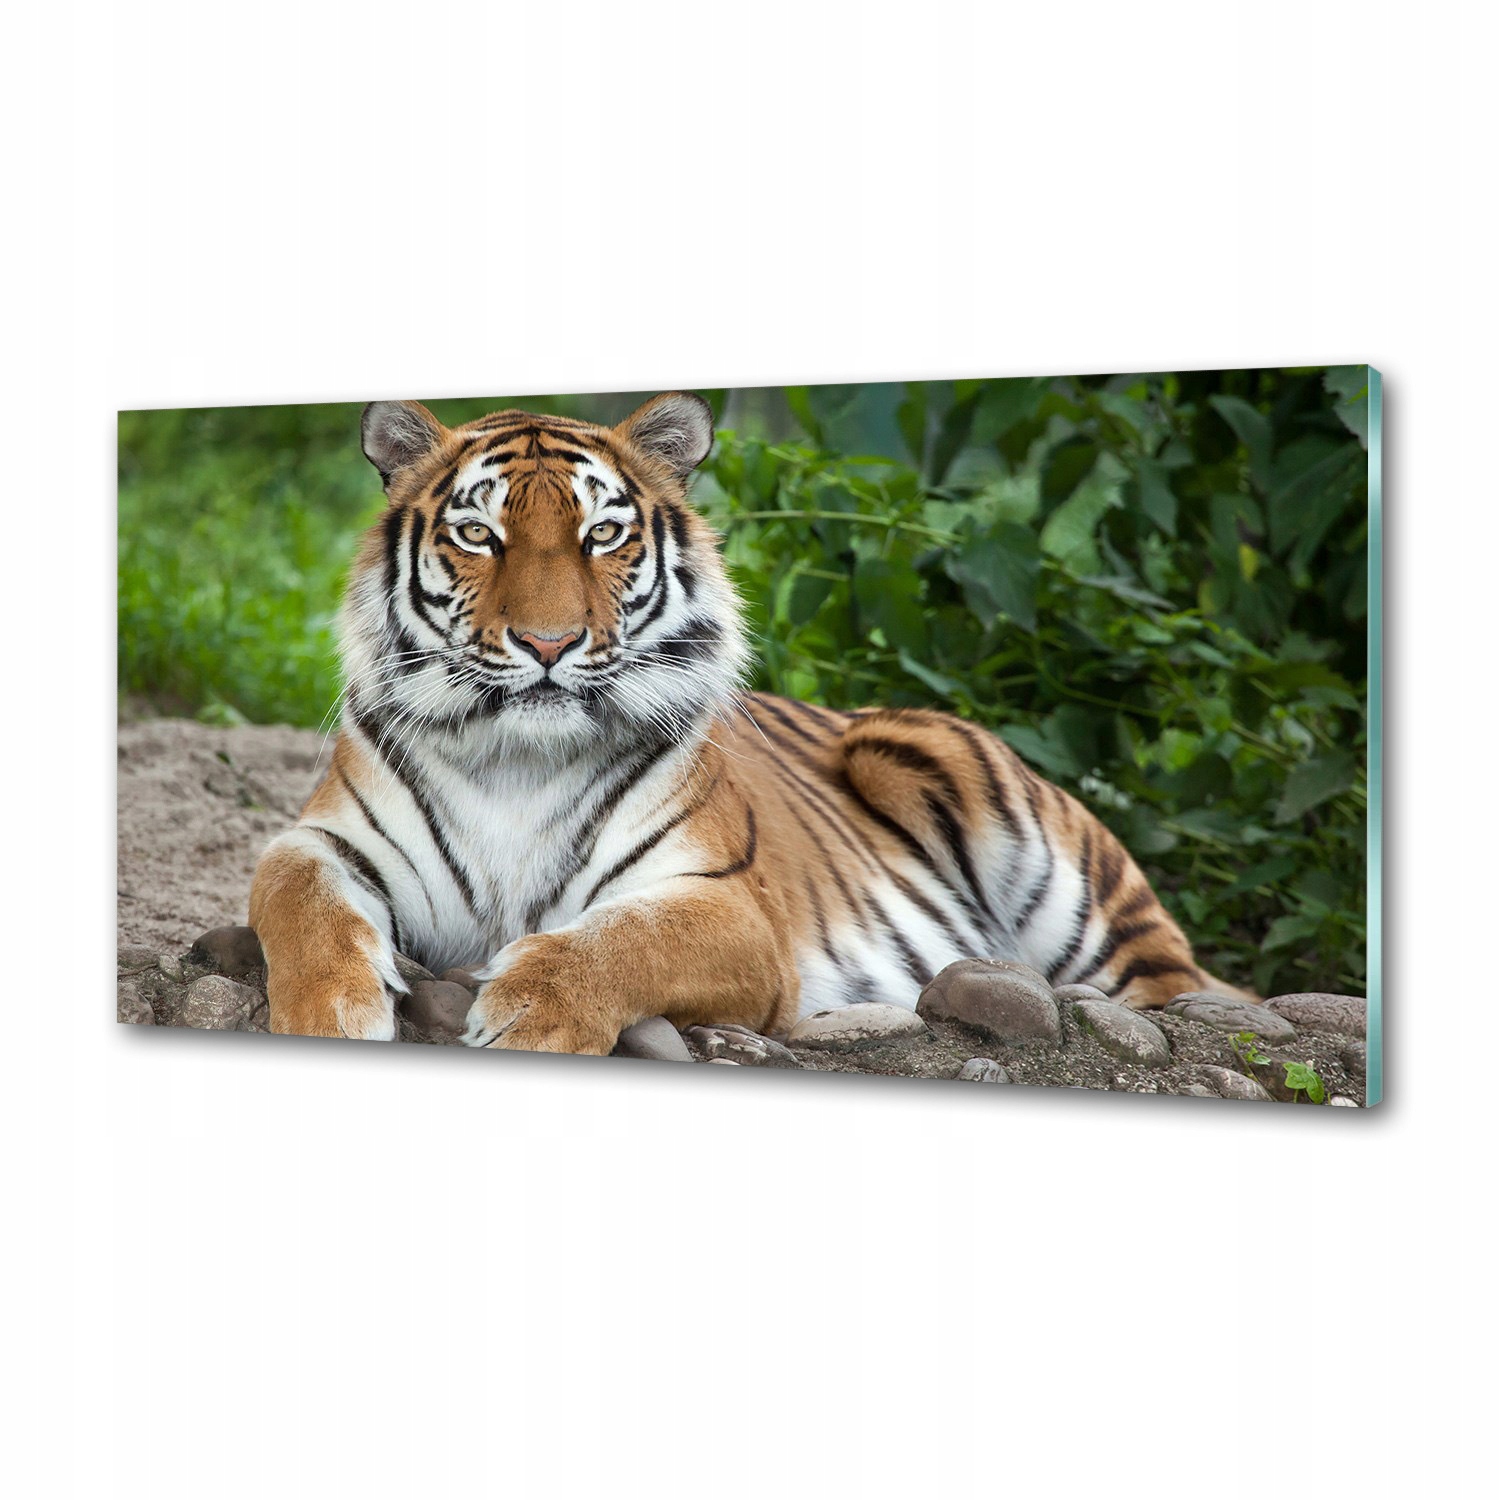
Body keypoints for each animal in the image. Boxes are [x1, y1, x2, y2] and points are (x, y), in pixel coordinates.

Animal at [249, 392, 1244, 1052]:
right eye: (479, 536)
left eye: (601, 536)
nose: (547, 642)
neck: (516, 762)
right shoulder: (326, 840)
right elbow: (295, 897)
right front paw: (332, 1013)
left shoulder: (731, 906)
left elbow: (625, 940)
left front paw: (530, 1012)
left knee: (1175, 985)